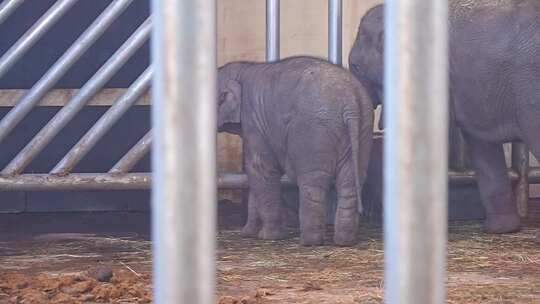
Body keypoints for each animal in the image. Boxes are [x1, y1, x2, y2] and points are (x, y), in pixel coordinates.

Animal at [217, 55, 374, 246]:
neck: (241, 70)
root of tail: (349, 102)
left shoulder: (253, 122)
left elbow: (259, 171)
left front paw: (268, 236)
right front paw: (248, 233)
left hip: (313, 132)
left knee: (313, 182)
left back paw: (309, 242)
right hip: (363, 128)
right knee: (349, 181)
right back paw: (344, 241)